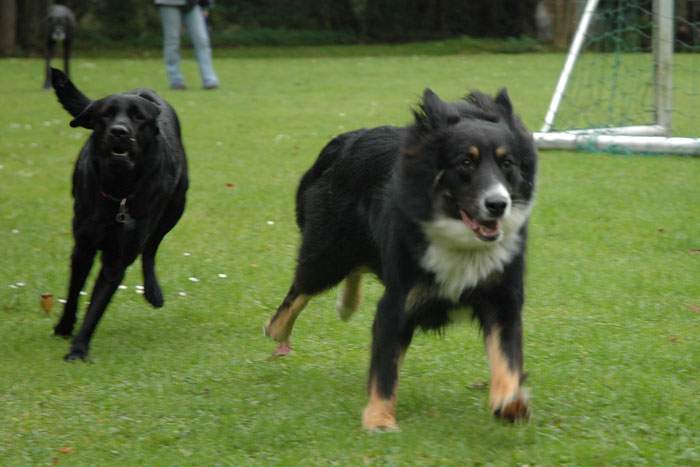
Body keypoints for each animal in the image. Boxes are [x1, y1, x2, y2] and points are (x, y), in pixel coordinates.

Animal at [50, 68, 189, 362]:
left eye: (138, 117)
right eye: (106, 114)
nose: (119, 132)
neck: (119, 189)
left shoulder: (117, 258)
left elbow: (96, 306)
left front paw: (78, 348)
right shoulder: (83, 247)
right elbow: (74, 291)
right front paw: (65, 327)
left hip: (175, 208)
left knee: (150, 249)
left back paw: (153, 292)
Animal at [266, 88, 540, 432]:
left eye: (507, 163)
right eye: (465, 162)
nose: (498, 204)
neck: (459, 237)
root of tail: (346, 139)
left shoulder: (503, 298)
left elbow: (507, 357)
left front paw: (511, 402)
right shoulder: (398, 300)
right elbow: (385, 368)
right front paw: (380, 419)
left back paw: (347, 303)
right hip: (328, 255)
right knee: (296, 296)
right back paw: (280, 331)